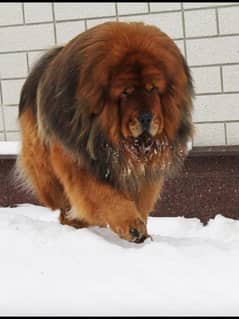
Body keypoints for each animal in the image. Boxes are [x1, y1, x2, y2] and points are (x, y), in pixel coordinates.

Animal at [18, 21, 194, 242]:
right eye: (125, 93)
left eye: (152, 88)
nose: (146, 117)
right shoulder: (78, 159)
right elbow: (104, 195)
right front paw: (131, 225)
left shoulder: (142, 171)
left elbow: (138, 200)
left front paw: (142, 230)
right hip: (44, 168)